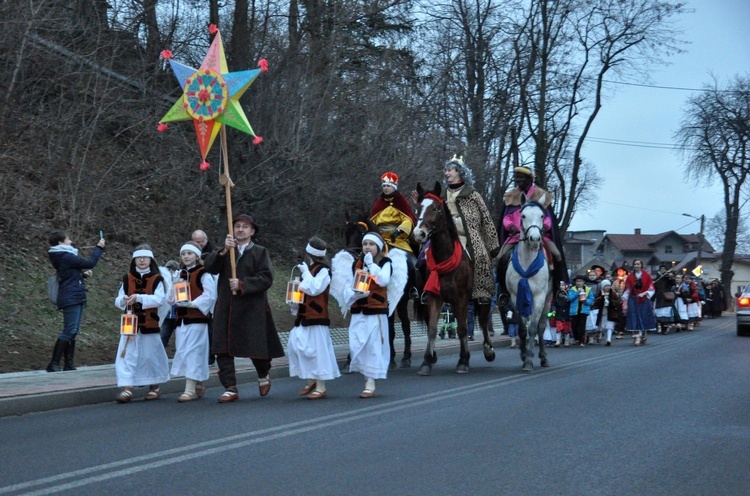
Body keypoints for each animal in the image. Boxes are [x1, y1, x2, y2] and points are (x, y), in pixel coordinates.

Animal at [414, 180, 496, 374]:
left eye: (436, 208)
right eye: (418, 207)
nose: (419, 234)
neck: (445, 257)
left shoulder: (462, 299)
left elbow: (462, 328)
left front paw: (463, 360)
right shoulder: (434, 297)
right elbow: (432, 328)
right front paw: (426, 361)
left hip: (481, 297)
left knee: (483, 320)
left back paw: (488, 350)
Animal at [506, 194, 552, 372]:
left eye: (542, 216)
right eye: (523, 216)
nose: (535, 239)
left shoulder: (539, 296)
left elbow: (532, 328)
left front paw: (529, 361)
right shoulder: (515, 297)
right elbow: (521, 329)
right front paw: (524, 355)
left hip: (548, 298)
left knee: (541, 326)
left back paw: (544, 358)